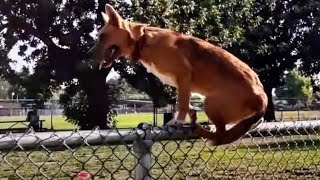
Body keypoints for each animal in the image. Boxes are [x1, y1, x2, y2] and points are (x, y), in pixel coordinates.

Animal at [89, 3, 268, 146]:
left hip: (210, 103)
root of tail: (263, 98)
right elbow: (182, 101)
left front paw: (178, 121)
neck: (142, 40)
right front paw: (188, 114)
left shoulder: (183, 76)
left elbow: (181, 103)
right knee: (224, 131)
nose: (88, 54)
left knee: (221, 134)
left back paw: (200, 130)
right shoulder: (180, 84)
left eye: (102, 36)